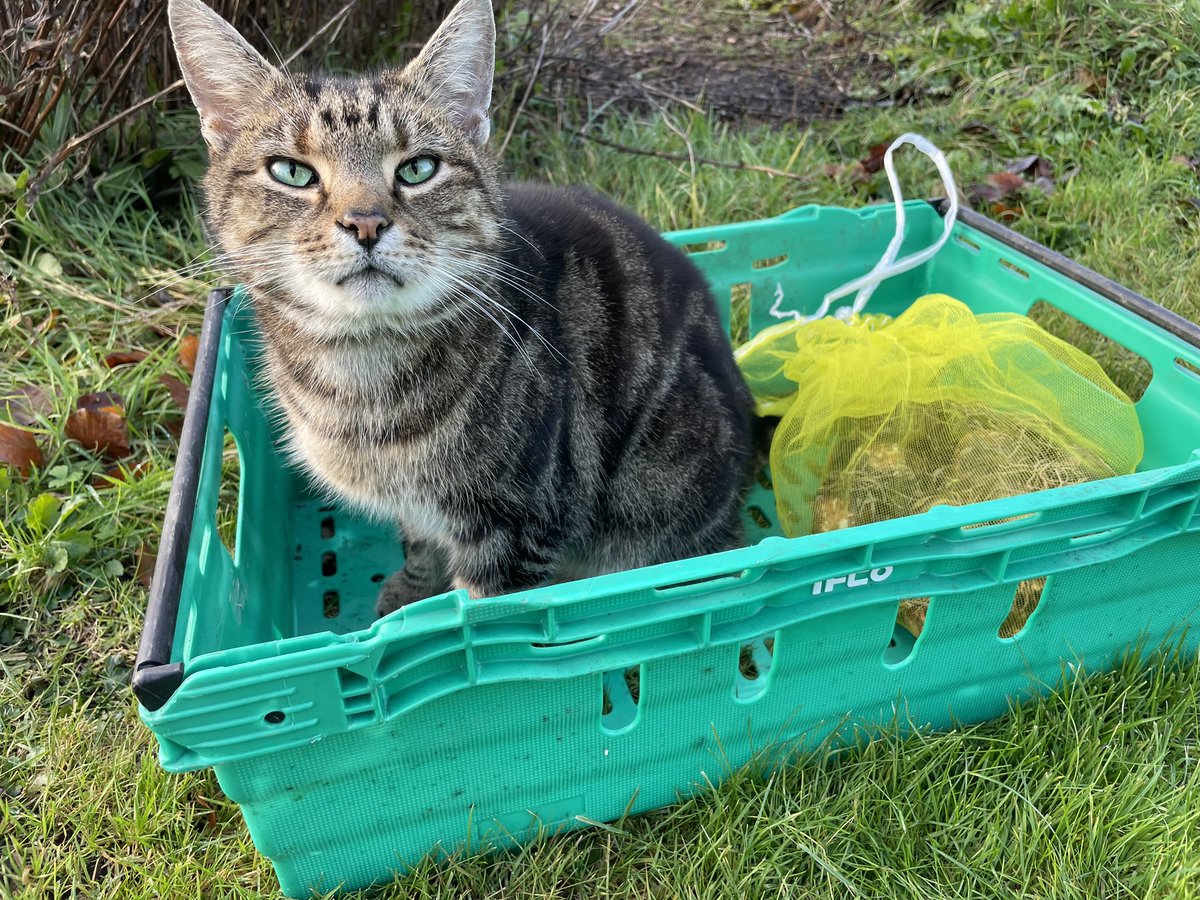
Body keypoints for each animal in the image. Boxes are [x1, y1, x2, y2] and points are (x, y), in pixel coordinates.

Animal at [169, 0, 748, 619]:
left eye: (418, 168)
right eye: (292, 172)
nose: (365, 223)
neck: (362, 371)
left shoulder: (514, 529)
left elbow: (484, 621)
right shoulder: (422, 511)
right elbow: (419, 544)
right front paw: (408, 592)